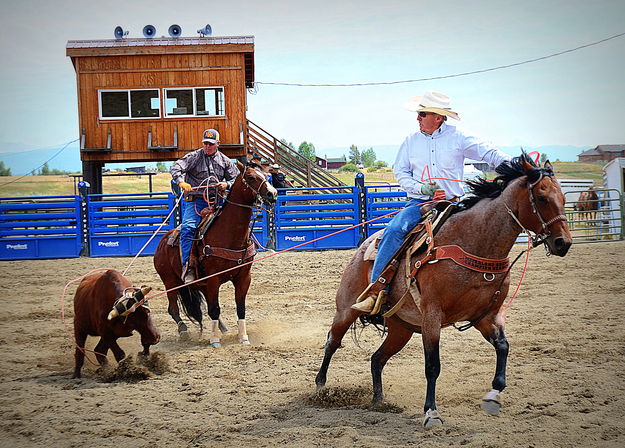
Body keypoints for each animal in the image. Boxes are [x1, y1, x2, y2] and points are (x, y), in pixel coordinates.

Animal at [153, 164, 276, 346]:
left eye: (266, 176)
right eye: (251, 177)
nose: (273, 193)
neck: (230, 235)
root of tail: (162, 241)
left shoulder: (243, 277)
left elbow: (240, 308)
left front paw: (243, 337)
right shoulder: (213, 278)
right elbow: (215, 308)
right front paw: (215, 340)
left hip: (199, 283)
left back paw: (222, 328)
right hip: (170, 281)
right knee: (173, 308)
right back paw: (183, 330)